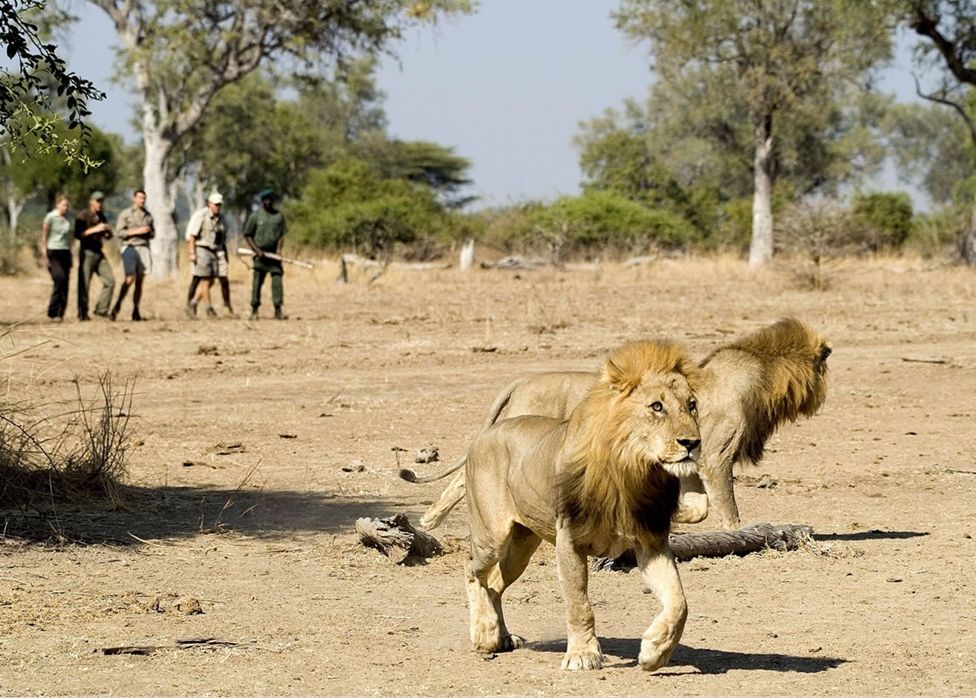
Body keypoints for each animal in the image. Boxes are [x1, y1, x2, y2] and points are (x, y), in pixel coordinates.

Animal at [468, 342, 700, 668]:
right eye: (656, 407)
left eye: (691, 405)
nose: (692, 443)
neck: (631, 470)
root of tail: (483, 435)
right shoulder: (570, 539)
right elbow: (579, 604)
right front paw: (583, 654)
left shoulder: (651, 541)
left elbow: (679, 601)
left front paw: (656, 650)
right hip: (493, 537)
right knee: (474, 573)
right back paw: (485, 634)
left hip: (522, 545)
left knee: (495, 583)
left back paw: (502, 637)